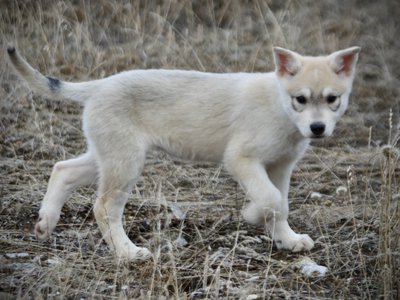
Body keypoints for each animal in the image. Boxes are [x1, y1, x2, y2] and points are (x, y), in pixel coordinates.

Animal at [7, 45, 360, 260]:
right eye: (300, 99)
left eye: (333, 99)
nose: (317, 128)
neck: (279, 106)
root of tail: (100, 84)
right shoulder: (241, 159)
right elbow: (271, 200)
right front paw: (251, 214)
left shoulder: (281, 166)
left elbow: (280, 204)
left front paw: (287, 239)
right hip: (125, 163)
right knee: (104, 207)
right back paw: (127, 252)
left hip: (106, 156)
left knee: (62, 169)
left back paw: (45, 223)